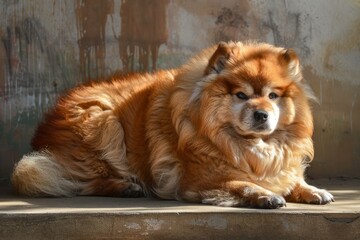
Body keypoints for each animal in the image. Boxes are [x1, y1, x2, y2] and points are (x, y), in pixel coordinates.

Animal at [12, 40, 334, 208]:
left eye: (272, 96)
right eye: (241, 95)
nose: (261, 114)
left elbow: (292, 178)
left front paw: (313, 190)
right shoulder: (201, 180)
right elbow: (241, 183)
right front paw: (266, 195)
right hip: (103, 122)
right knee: (79, 181)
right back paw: (125, 186)